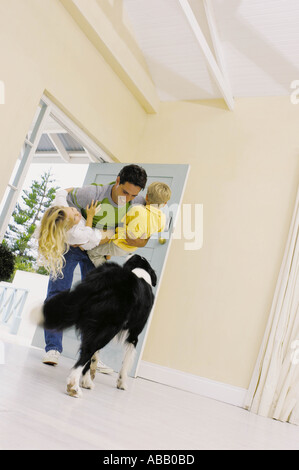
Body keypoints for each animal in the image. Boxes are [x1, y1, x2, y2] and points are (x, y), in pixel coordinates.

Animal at [33, 255, 157, 398]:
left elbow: (94, 358)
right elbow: (126, 361)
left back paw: (84, 382)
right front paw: (122, 384)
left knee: (87, 351)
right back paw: (73, 386)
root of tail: (106, 277)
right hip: (109, 328)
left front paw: (87, 379)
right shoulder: (134, 334)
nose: (130, 253)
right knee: (87, 351)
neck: (141, 271)